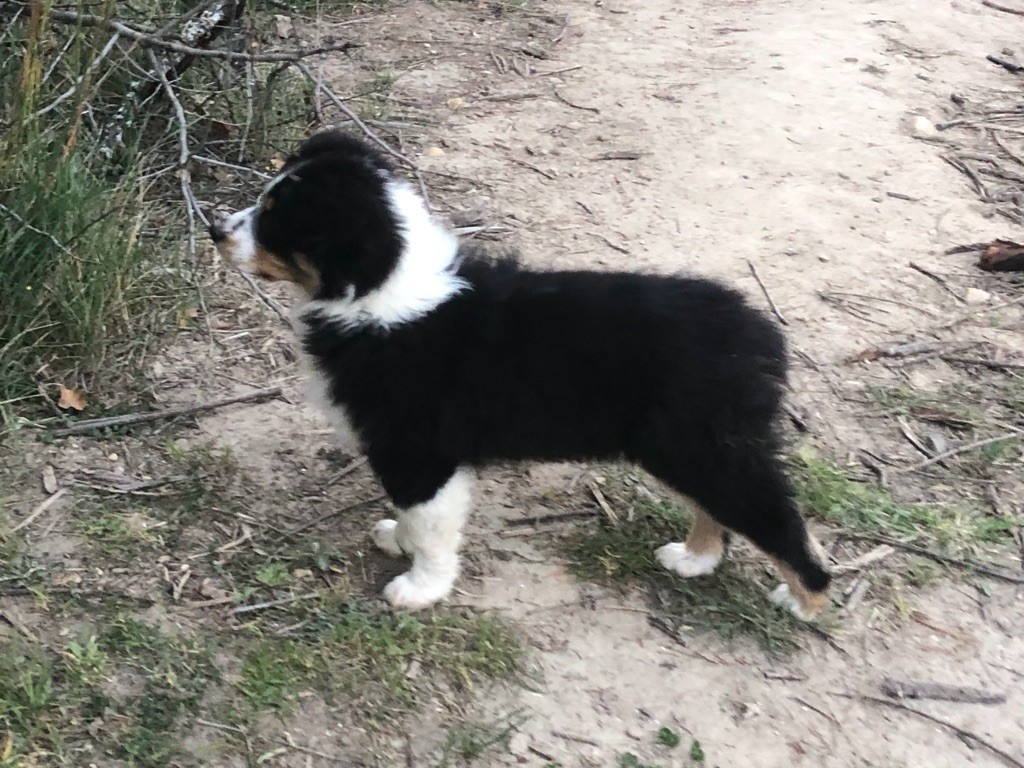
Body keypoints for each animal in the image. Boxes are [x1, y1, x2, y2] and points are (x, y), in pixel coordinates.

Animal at [209, 132, 831, 622]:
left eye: (275, 221)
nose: (215, 229)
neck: (378, 290)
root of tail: (759, 334)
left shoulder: (416, 451)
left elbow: (430, 523)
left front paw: (419, 588)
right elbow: (413, 516)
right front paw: (397, 540)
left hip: (700, 444)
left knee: (777, 519)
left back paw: (806, 601)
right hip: (685, 448)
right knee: (718, 507)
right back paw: (695, 558)